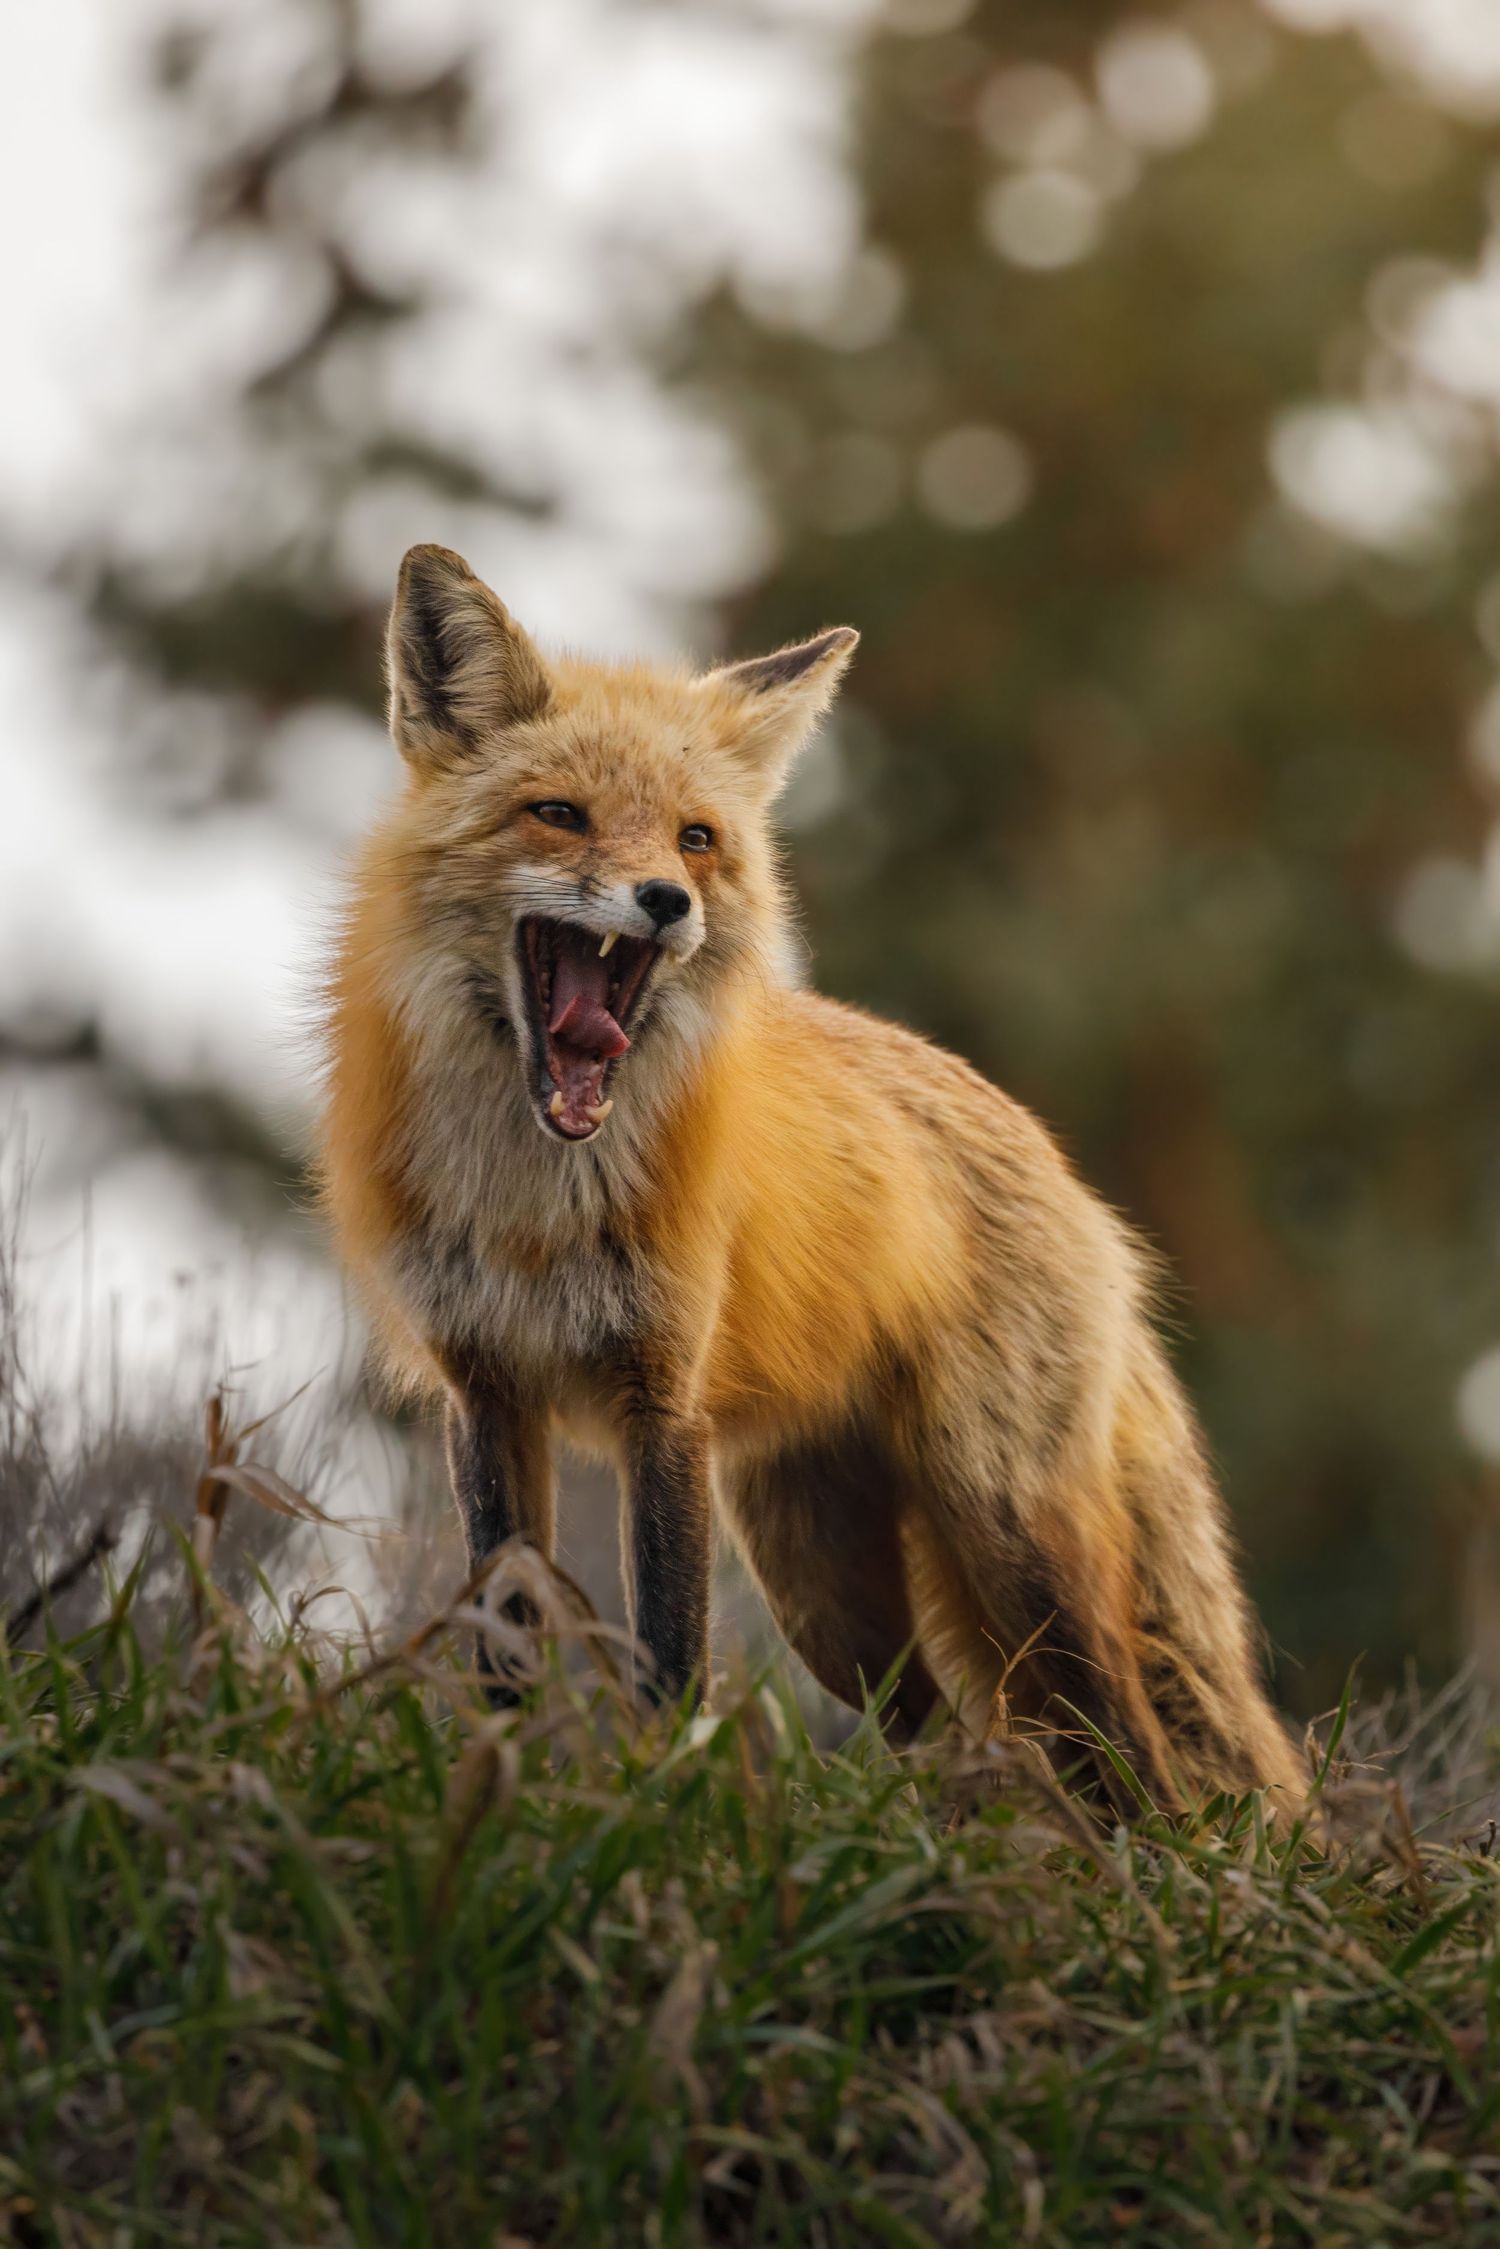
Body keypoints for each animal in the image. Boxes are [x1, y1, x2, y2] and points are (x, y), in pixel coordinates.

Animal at [319, 541, 1306, 1814]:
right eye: (558, 814)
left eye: (694, 838)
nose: (665, 902)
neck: (535, 1196)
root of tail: (1066, 1169)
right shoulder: (486, 1390)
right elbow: (504, 1640)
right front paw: (499, 1791)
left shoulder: (663, 1399)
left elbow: (671, 1656)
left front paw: (661, 1806)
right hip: (829, 1594)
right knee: (957, 1741)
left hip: (1011, 1541)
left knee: (1138, 1760)